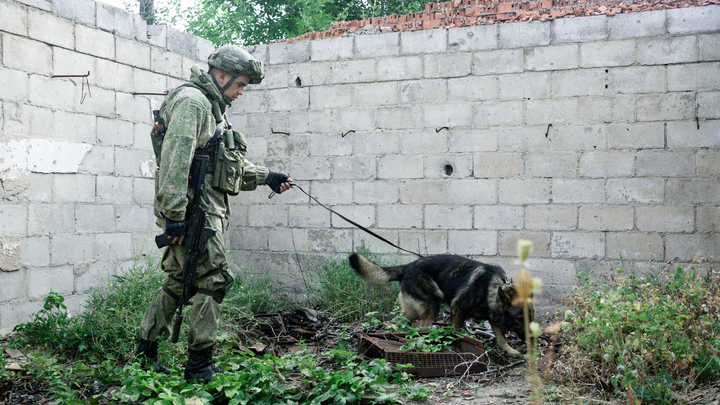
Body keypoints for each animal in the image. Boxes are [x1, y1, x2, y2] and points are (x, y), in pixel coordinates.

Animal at [348, 254, 528, 356]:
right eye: (519, 319)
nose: (530, 339)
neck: (491, 288)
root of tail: (406, 267)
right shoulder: (457, 308)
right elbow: (456, 332)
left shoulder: (493, 317)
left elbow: (501, 338)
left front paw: (510, 351)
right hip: (432, 305)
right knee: (422, 330)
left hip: (411, 312)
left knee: (392, 323)